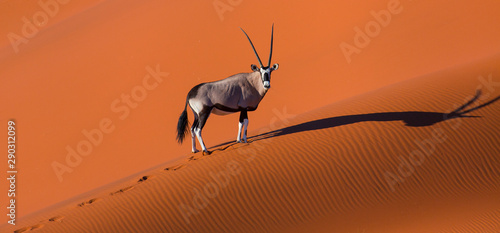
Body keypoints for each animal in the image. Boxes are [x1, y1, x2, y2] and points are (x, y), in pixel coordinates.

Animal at [176, 25, 278, 155]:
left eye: (270, 72)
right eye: (261, 72)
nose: (266, 85)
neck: (252, 83)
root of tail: (190, 94)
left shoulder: (242, 109)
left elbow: (242, 122)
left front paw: (241, 139)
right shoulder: (243, 108)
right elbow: (244, 122)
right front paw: (242, 140)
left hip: (196, 115)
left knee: (192, 129)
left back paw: (195, 150)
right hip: (204, 113)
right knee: (198, 130)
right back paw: (206, 150)